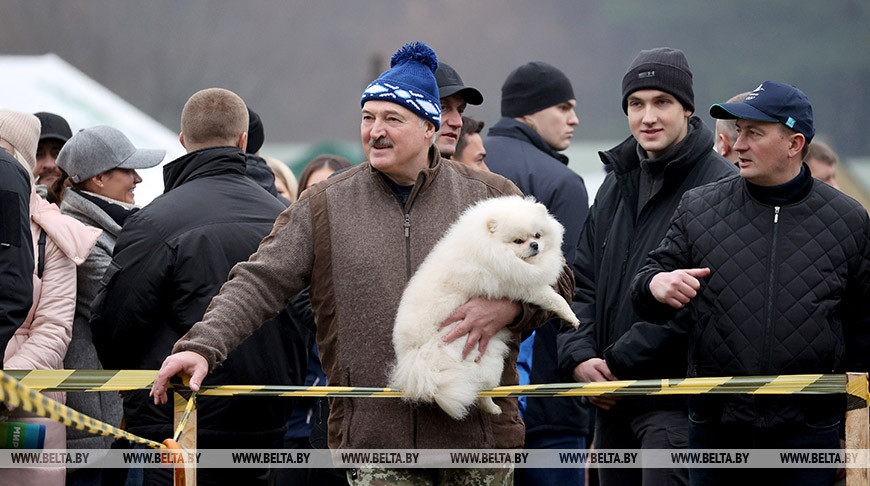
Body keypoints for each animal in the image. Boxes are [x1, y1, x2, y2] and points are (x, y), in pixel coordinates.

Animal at [392, 196, 584, 420]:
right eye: (518, 241)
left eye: (537, 235)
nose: (535, 244)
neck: (490, 247)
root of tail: (417, 357)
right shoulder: (522, 286)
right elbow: (554, 298)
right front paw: (571, 317)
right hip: (480, 354)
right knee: (481, 389)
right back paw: (492, 407)